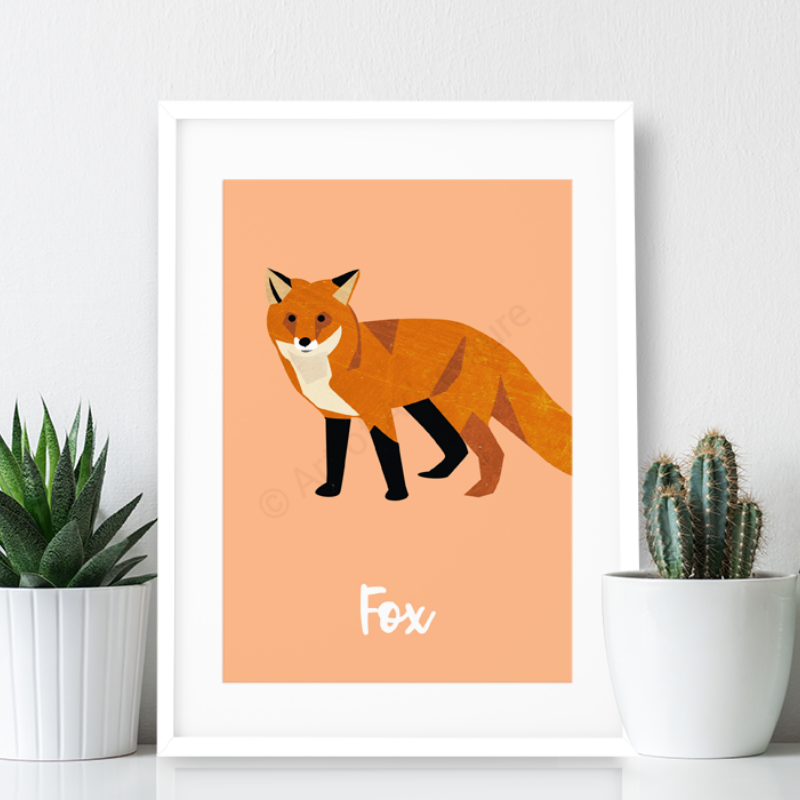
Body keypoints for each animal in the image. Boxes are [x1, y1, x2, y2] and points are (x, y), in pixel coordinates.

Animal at [265, 268, 571, 501]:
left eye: (322, 318)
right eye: (291, 318)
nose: (305, 342)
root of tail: (487, 339)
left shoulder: (378, 413)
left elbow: (390, 454)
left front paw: (397, 495)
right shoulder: (335, 415)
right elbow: (334, 458)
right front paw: (331, 491)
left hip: (460, 412)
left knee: (493, 451)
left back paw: (480, 492)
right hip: (425, 406)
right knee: (457, 447)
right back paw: (439, 474)